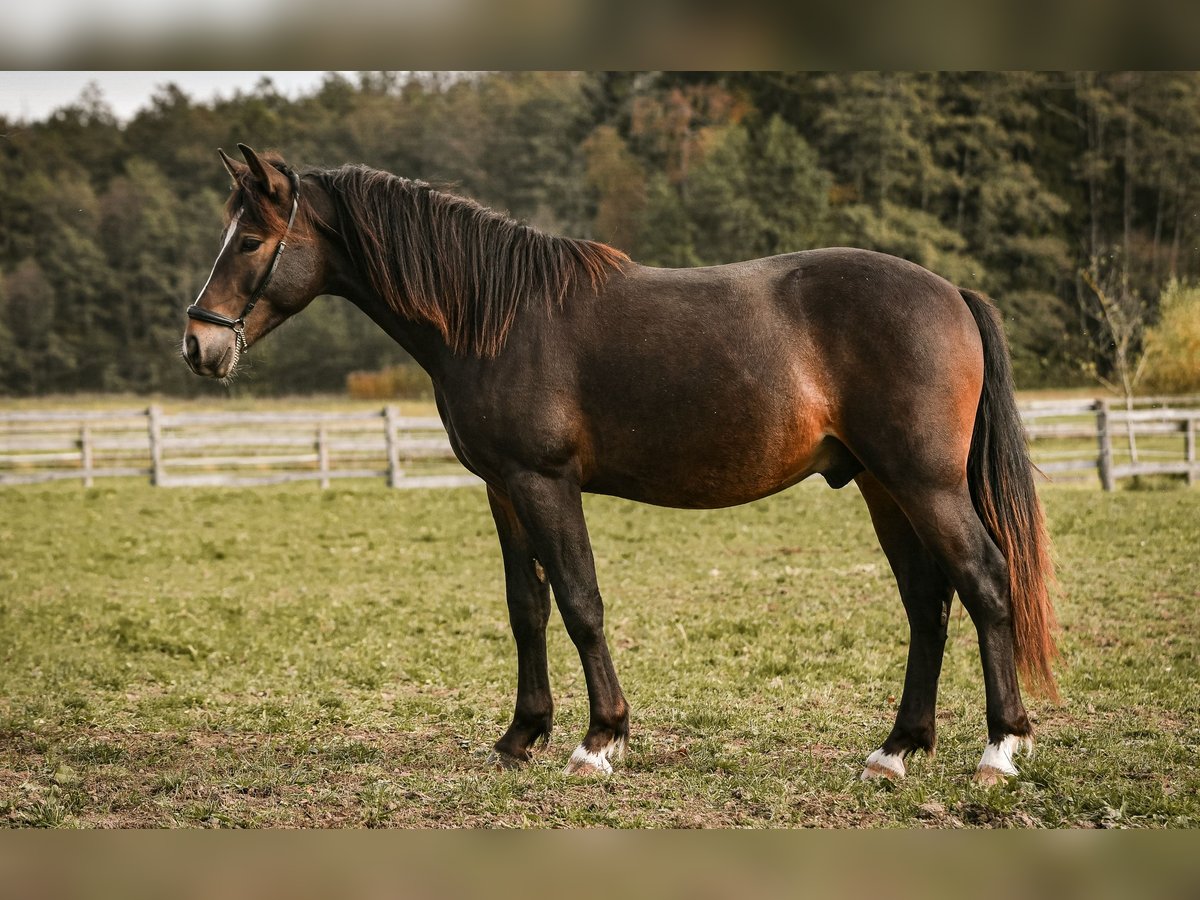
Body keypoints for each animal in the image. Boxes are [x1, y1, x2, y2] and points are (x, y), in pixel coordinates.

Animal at [182, 144, 1058, 783]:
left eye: (252, 241)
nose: (198, 345)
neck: (496, 316)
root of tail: (950, 292)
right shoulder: (503, 489)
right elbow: (526, 607)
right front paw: (520, 736)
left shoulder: (544, 482)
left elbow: (580, 602)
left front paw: (598, 740)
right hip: (883, 486)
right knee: (927, 602)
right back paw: (897, 748)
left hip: (924, 483)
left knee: (984, 581)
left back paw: (999, 749)